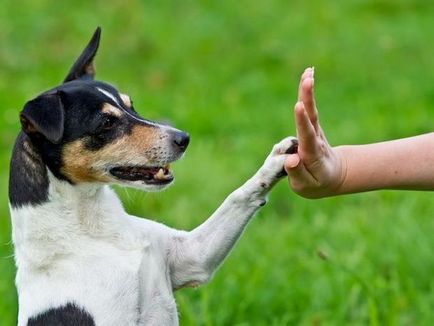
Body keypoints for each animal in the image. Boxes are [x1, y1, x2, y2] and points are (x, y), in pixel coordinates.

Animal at [8, 28, 298, 326]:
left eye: (131, 106)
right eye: (106, 123)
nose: (183, 138)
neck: (94, 231)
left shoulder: (193, 256)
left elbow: (237, 197)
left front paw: (277, 160)